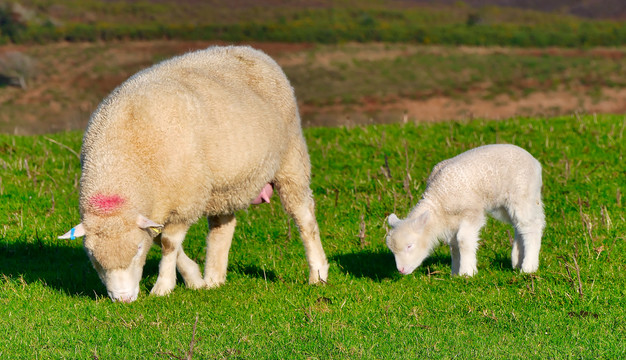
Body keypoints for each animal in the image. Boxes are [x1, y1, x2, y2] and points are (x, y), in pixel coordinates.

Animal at [60, 45, 330, 304]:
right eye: (93, 257)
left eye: (137, 249)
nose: (123, 299)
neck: (118, 161)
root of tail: (252, 50)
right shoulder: (161, 206)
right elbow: (161, 239)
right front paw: (194, 279)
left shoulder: (184, 199)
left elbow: (168, 243)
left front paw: (163, 287)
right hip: (223, 186)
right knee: (222, 227)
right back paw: (213, 279)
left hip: (291, 161)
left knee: (304, 218)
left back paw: (318, 273)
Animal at [382, 143, 544, 276]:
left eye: (410, 245)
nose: (401, 270)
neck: (438, 200)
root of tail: (536, 163)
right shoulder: (451, 220)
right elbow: (453, 245)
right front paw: (455, 273)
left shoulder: (471, 212)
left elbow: (463, 240)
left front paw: (467, 272)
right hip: (504, 205)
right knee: (519, 226)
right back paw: (517, 260)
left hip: (522, 194)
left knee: (531, 227)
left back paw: (528, 267)